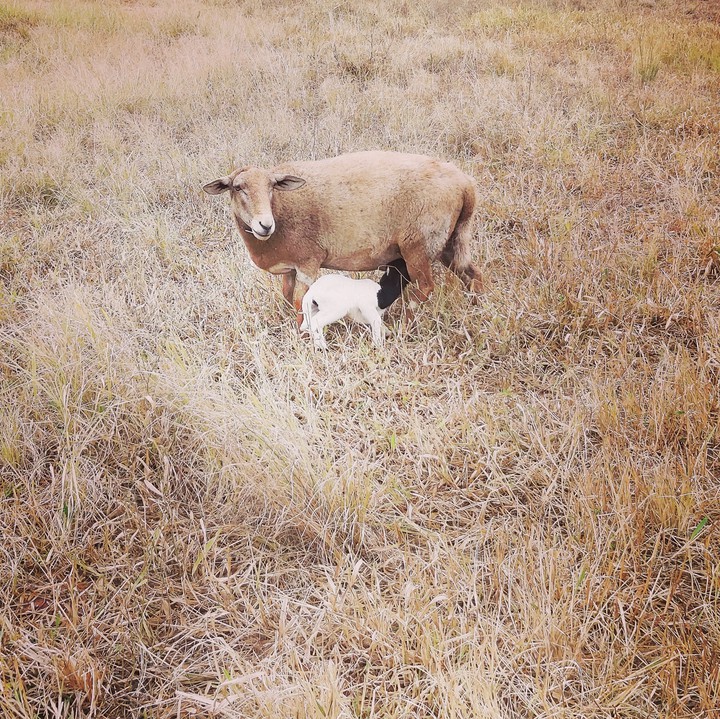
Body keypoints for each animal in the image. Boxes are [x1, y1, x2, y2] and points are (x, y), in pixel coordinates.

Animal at [203, 151, 482, 321]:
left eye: (272, 186)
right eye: (237, 188)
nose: (265, 225)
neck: (280, 209)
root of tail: (465, 184)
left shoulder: (308, 262)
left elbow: (300, 301)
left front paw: (301, 334)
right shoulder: (291, 267)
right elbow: (287, 296)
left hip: (418, 245)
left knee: (425, 287)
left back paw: (405, 322)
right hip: (449, 240)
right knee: (471, 274)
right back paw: (477, 306)